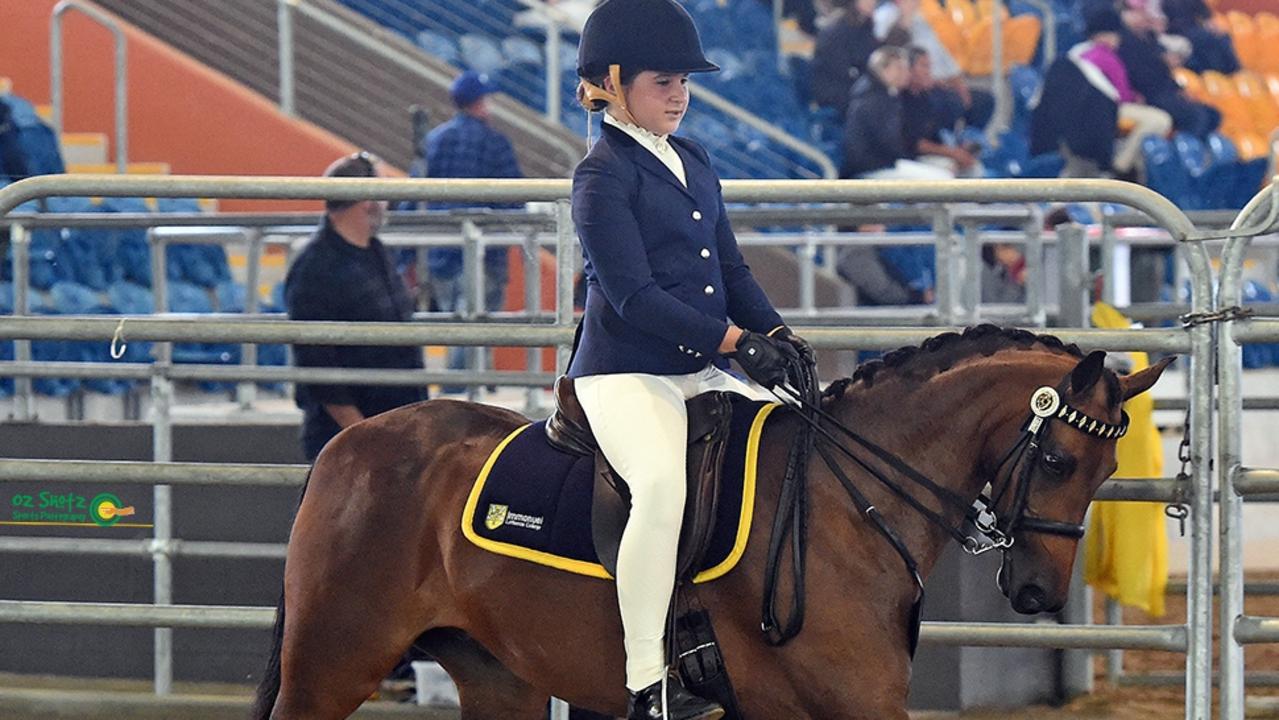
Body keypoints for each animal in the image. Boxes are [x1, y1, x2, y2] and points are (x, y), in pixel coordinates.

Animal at [246, 327, 1171, 720]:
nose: (1036, 592)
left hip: (496, 676)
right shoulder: (846, 702)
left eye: (1107, 473)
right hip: (333, 663)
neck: (842, 503)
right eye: (1058, 463)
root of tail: (349, 444)